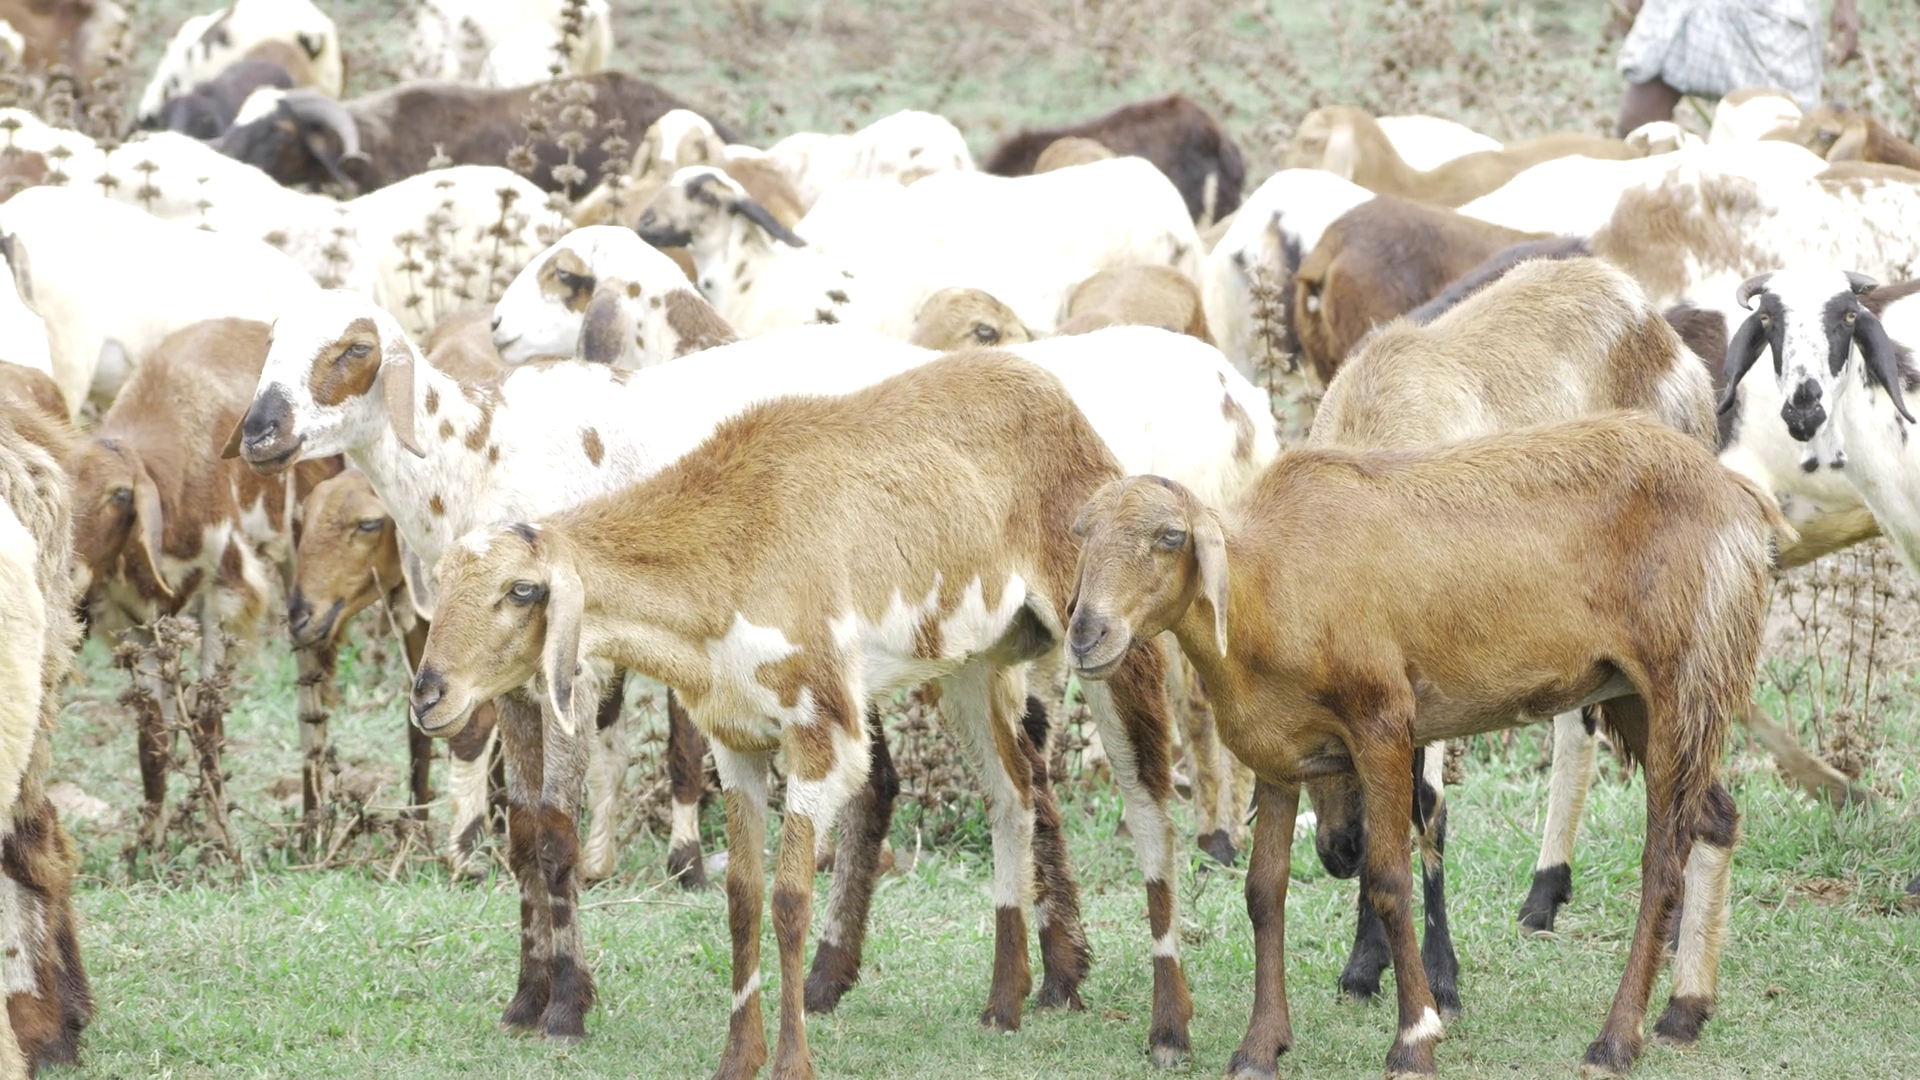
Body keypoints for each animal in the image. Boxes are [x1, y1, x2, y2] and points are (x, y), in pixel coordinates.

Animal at [71, 318, 339, 851]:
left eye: (119, 495)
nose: (68, 571)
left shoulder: (226, 594)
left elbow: (209, 721)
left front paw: (218, 838)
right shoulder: (137, 623)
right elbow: (153, 736)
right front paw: (148, 845)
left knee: (311, 690)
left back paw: (313, 825)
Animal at [407, 350, 1201, 1071]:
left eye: (521, 591)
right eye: (440, 583)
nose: (428, 694)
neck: (727, 550)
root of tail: (1048, 386)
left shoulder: (821, 734)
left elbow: (791, 899)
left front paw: (789, 1059)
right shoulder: (736, 739)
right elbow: (742, 895)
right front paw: (739, 1056)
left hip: (1108, 642)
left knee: (1149, 811)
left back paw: (1168, 1028)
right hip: (973, 664)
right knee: (1013, 795)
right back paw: (1004, 1002)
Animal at [1066, 413, 1786, 1078]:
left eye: (1170, 537)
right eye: (1081, 534)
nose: (1085, 634)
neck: (1266, 584)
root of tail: (1738, 495)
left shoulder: (1383, 723)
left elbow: (1389, 879)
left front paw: (1415, 1038)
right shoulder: (1280, 753)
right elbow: (1264, 894)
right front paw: (1259, 1047)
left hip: (1681, 677)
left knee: (1664, 858)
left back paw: (1615, 1040)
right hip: (1635, 692)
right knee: (1717, 817)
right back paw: (1683, 1013)